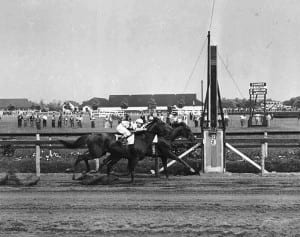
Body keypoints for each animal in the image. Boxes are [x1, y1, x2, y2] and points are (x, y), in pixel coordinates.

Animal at [60, 118, 196, 181]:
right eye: (188, 130)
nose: (194, 138)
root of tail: (90, 135)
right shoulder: (164, 152)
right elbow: (178, 159)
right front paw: (193, 170)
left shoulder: (161, 155)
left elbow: (167, 165)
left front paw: (167, 177)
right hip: (97, 152)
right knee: (82, 157)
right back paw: (80, 174)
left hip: (105, 153)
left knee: (98, 161)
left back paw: (90, 173)